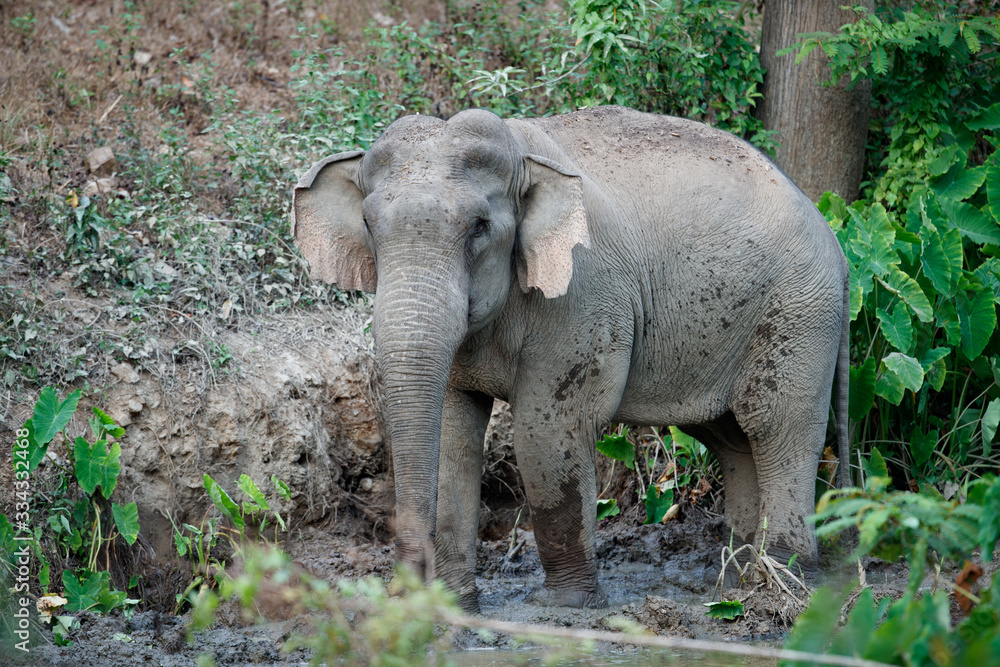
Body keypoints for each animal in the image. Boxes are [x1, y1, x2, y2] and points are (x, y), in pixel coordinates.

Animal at [292, 105, 850, 612]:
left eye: (479, 226)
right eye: (368, 223)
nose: (403, 594)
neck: (522, 154)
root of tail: (837, 239)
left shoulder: (583, 295)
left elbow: (546, 427)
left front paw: (567, 606)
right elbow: (454, 432)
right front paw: (456, 608)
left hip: (799, 314)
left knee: (776, 426)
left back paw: (781, 584)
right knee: (731, 438)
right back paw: (735, 582)